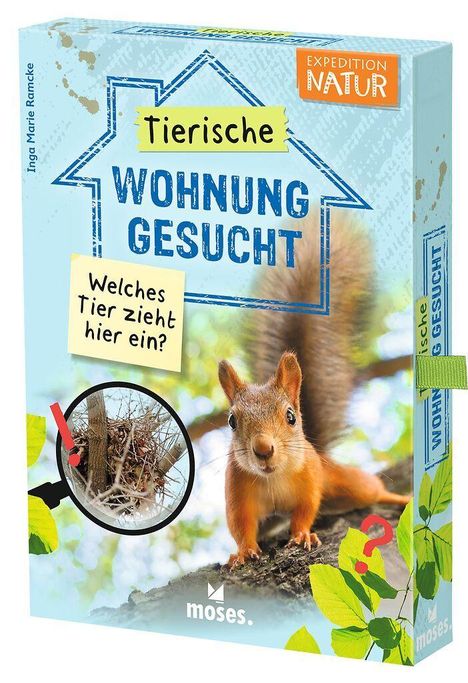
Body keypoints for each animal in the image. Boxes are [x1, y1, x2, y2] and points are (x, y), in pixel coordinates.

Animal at [218, 211, 411, 569]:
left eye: (291, 416)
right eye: (232, 421)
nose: (263, 449)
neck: (273, 477)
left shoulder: (309, 481)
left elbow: (305, 510)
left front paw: (303, 535)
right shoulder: (237, 490)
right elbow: (240, 525)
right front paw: (243, 551)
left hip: (342, 482)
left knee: (372, 490)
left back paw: (400, 496)